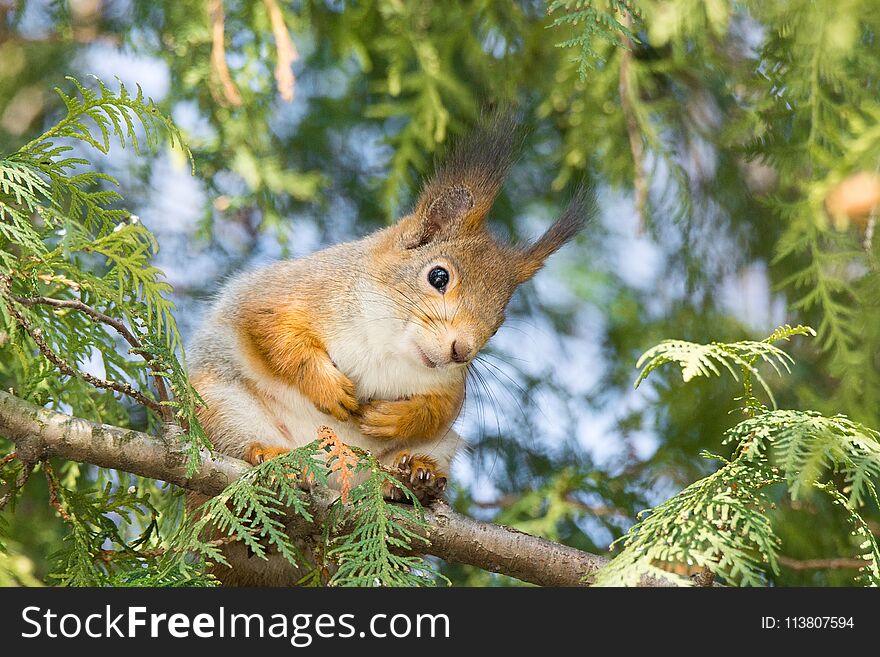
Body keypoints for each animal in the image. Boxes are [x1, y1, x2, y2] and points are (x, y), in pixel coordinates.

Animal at [186, 114, 588, 584]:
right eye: (438, 276)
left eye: (499, 320)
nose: (462, 351)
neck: (390, 340)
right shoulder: (285, 294)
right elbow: (274, 334)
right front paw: (329, 388)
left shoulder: (449, 385)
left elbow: (439, 409)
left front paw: (391, 418)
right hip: (221, 407)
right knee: (236, 449)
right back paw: (270, 460)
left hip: (441, 449)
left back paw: (413, 477)